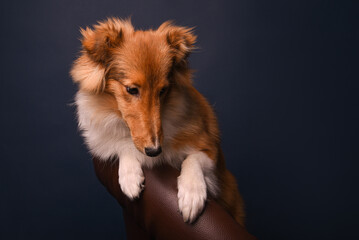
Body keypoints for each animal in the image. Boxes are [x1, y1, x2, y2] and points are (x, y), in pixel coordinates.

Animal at [71, 17, 245, 225]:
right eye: (131, 89)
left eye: (163, 90)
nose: (154, 151)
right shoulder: (103, 140)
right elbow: (122, 146)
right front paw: (130, 177)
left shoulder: (209, 148)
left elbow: (193, 159)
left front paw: (191, 195)